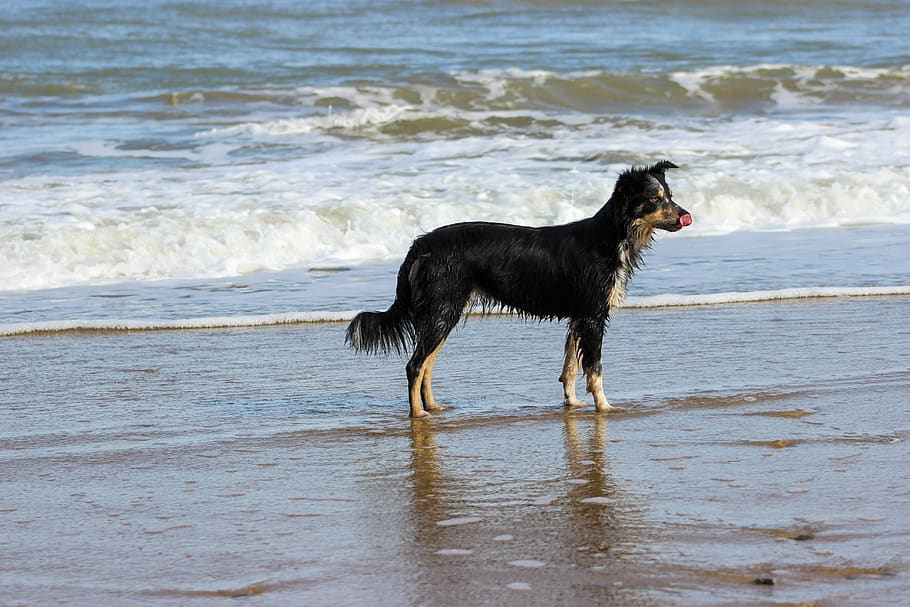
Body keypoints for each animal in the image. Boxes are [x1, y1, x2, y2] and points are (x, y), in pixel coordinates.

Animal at [348, 162, 692, 418]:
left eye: (670, 195)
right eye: (654, 198)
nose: (684, 215)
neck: (611, 236)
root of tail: (420, 245)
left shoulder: (579, 315)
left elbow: (570, 366)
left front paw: (572, 403)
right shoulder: (593, 315)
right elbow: (594, 368)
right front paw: (604, 406)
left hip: (441, 312)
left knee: (427, 365)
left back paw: (433, 407)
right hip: (442, 309)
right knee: (415, 365)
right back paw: (418, 414)